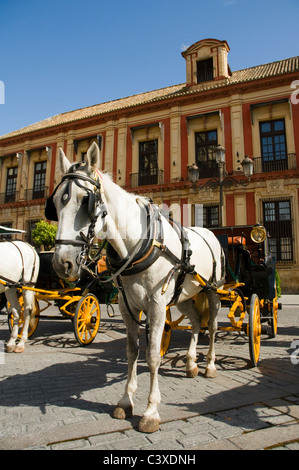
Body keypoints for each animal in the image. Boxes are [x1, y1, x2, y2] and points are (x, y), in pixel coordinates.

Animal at [49, 142, 225, 434]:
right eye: (53, 204)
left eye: (86, 202)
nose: (62, 263)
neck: (138, 243)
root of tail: (210, 232)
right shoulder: (126, 304)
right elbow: (132, 351)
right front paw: (125, 400)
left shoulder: (156, 304)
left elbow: (153, 355)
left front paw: (151, 411)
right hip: (183, 296)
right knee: (195, 322)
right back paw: (190, 364)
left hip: (212, 290)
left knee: (211, 327)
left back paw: (210, 365)